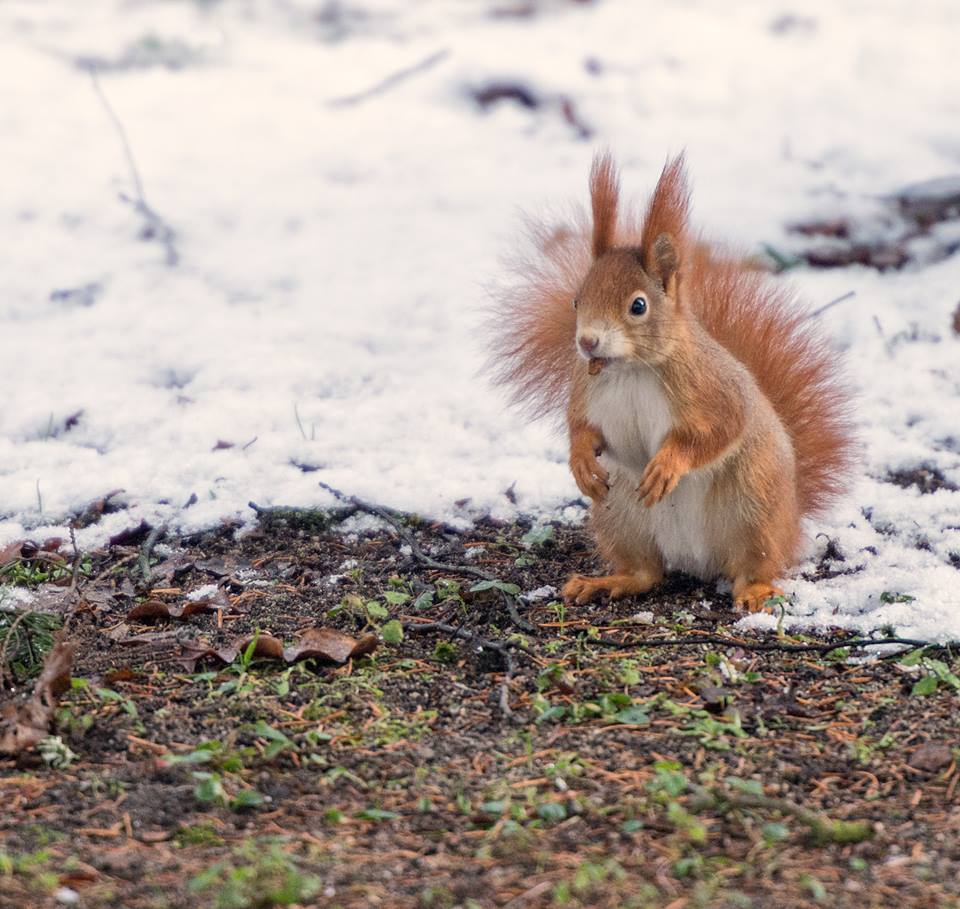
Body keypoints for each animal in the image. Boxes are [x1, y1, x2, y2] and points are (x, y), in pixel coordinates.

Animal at [489, 153, 853, 612]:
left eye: (638, 306)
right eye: (576, 300)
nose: (587, 342)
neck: (629, 368)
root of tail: (697, 560)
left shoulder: (713, 390)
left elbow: (719, 430)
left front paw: (668, 464)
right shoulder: (584, 389)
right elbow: (579, 426)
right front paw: (581, 461)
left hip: (754, 506)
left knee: (754, 565)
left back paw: (755, 589)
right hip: (620, 514)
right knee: (646, 573)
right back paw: (606, 581)